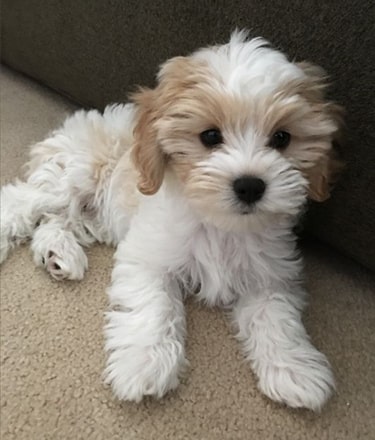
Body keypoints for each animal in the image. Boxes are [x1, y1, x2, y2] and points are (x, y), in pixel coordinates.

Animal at [0, 31, 344, 412]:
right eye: (210, 136)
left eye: (282, 137)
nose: (250, 185)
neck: (219, 224)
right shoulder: (149, 256)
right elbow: (155, 307)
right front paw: (144, 363)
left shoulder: (269, 274)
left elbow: (277, 317)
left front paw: (294, 368)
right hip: (74, 177)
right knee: (22, 201)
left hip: (92, 214)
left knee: (55, 221)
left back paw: (58, 255)